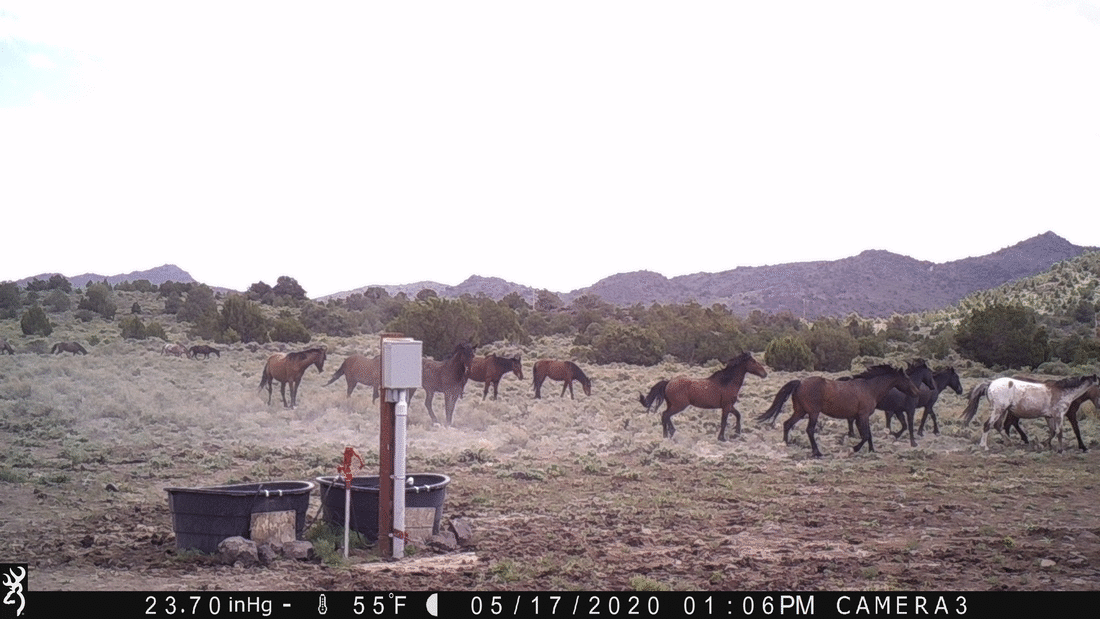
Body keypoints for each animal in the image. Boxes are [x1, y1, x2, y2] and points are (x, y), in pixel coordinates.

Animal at [757, 364, 921, 458]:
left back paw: (786, 444)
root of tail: (800, 382)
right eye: (907, 378)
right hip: (813, 413)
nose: (916, 392)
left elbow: (868, 435)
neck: (869, 387)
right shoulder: (862, 416)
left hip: (800, 411)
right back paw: (817, 452)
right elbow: (865, 435)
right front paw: (854, 449)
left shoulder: (862, 417)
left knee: (787, 424)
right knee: (809, 430)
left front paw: (872, 451)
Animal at [961, 374, 1100, 452]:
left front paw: (1044, 445)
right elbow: (1061, 432)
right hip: (998, 410)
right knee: (988, 425)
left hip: (1003, 411)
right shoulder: (1060, 415)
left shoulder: (1049, 417)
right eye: (1099, 385)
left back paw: (1009, 442)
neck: (1063, 391)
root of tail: (990, 383)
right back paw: (984, 446)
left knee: (998, 425)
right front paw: (1061, 450)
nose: (1099, 405)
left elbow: (1053, 431)